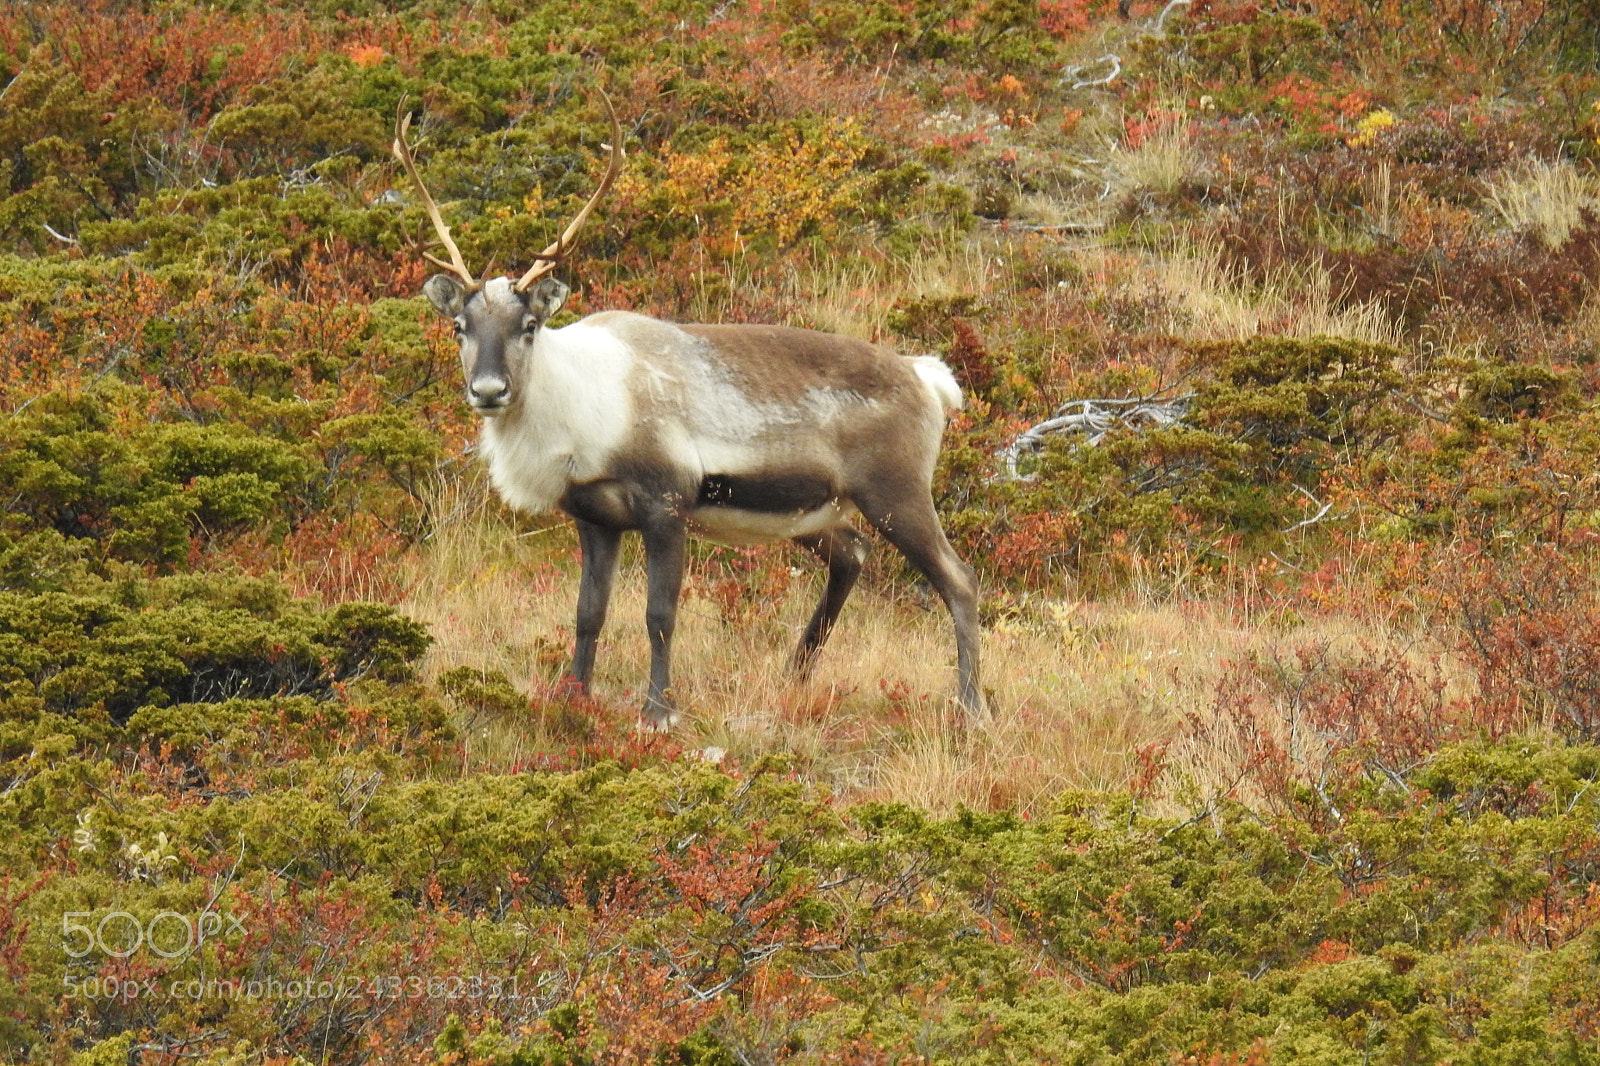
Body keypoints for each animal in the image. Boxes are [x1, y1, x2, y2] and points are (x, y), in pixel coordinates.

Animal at [394, 94, 983, 729]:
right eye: (459, 326)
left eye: (529, 325)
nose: (488, 390)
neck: (582, 409)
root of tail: (926, 376)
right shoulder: (595, 517)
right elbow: (587, 614)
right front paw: (573, 697)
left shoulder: (665, 504)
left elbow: (659, 615)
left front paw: (658, 710)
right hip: (815, 512)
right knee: (853, 553)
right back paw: (795, 676)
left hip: (896, 492)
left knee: (959, 579)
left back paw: (971, 706)